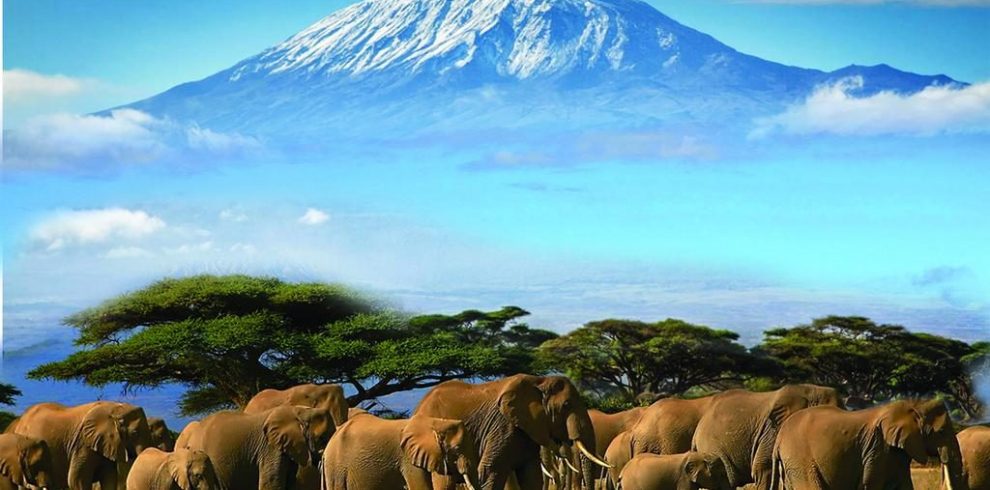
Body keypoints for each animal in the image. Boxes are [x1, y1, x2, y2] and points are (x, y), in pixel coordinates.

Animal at [776, 398, 968, 490]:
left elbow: (904, 485)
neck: (912, 406)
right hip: (799, 459)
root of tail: (779, 438)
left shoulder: (896, 452)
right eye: (941, 432)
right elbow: (870, 483)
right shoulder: (878, 447)